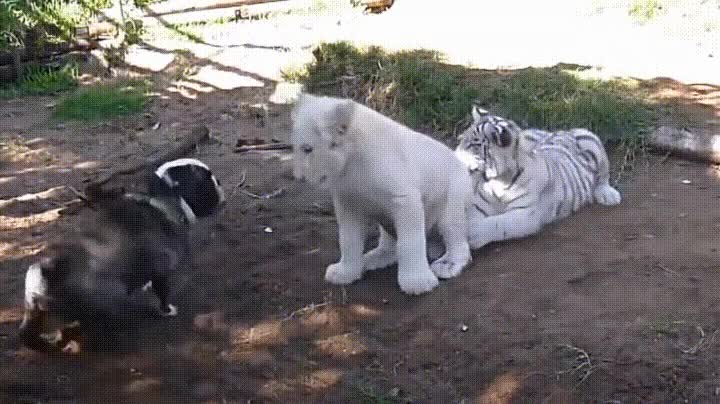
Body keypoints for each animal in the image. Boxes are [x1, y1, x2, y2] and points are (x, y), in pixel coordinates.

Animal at [454, 105, 622, 250]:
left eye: (473, 144)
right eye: (462, 139)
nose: (454, 155)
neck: (499, 180)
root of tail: (561, 131)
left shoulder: (527, 213)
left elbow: (499, 223)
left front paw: (473, 234)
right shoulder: (479, 206)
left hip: (590, 138)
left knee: (603, 175)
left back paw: (608, 195)